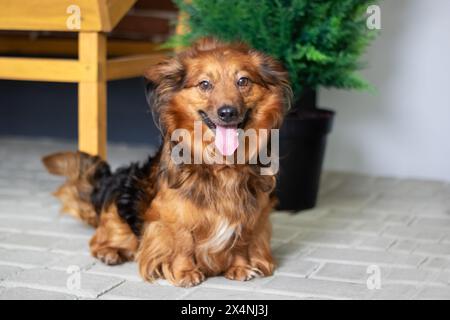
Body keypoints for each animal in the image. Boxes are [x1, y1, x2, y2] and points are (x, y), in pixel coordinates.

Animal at [43, 38, 292, 288]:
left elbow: (242, 240)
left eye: (243, 81)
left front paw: (240, 267)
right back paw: (110, 252)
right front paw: (185, 272)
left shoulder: (252, 212)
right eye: (204, 84)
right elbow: (182, 241)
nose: (227, 112)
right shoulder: (171, 211)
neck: (221, 164)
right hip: (123, 201)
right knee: (100, 239)